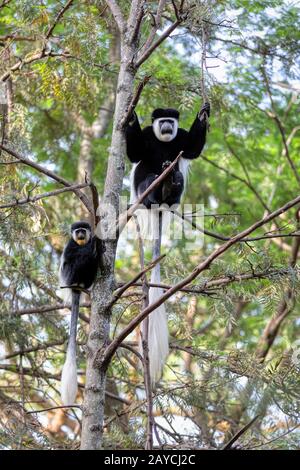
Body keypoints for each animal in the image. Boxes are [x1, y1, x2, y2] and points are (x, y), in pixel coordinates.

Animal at [125, 103, 210, 386]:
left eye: (171, 122)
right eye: (161, 120)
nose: (165, 126)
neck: (163, 141)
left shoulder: (181, 137)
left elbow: (192, 148)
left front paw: (204, 113)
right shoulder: (147, 138)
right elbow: (134, 154)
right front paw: (131, 116)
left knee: (176, 177)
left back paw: (171, 183)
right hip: (144, 189)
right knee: (148, 174)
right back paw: (156, 190)